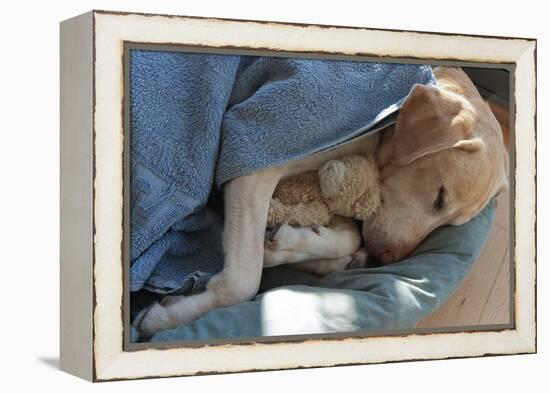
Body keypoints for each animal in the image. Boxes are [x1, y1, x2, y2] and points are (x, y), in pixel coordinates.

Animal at [137, 66, 508, 336]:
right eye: (440, 197)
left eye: (449, 223)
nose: (383, 260)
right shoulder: (254, 159)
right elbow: (243, 281)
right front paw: (165, 318)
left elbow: (347, 237)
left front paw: (293, 245)